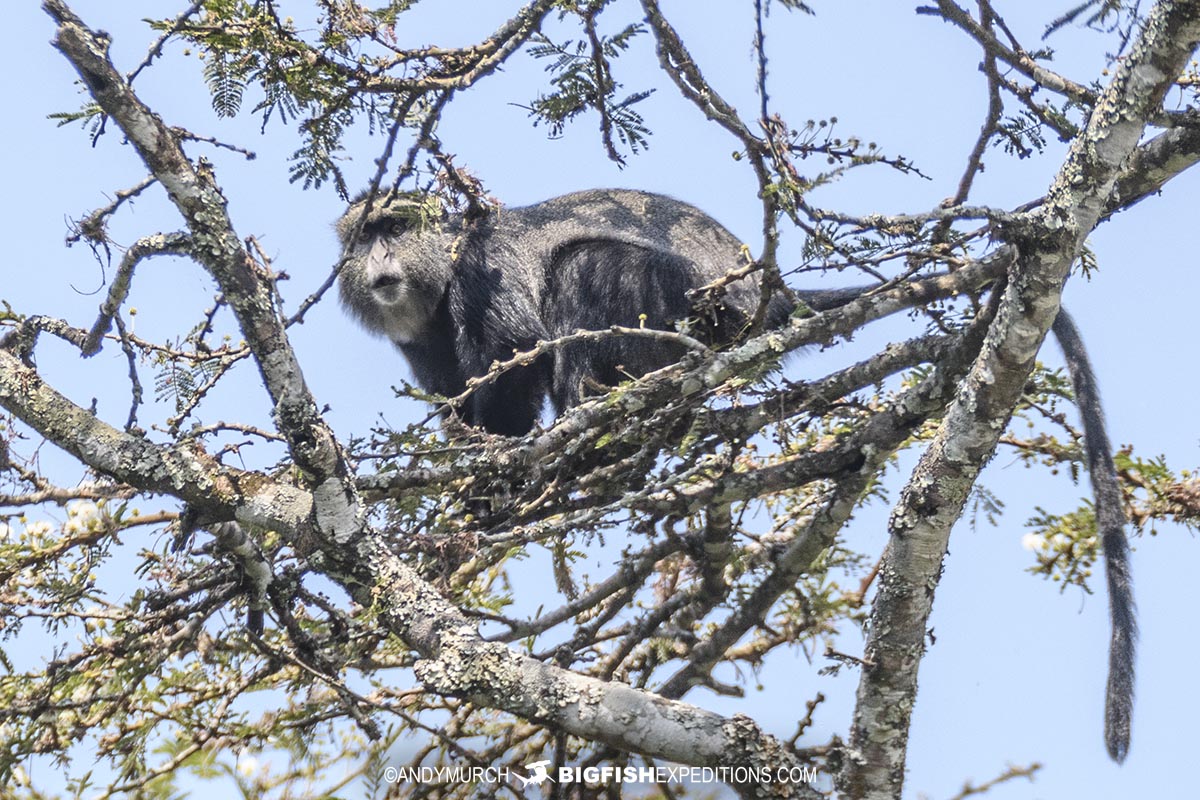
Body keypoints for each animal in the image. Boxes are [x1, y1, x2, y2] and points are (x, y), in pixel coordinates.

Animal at [335, 187, 1133, 761]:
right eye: (362, 234)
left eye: (395, 225)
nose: (379, 260)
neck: (440, 278)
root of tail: (762, 296)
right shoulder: (424, 341)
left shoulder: (482, 274)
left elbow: (512, 362)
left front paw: (489, 487)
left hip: (677, 304)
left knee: (582, 269)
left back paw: (597, 432)